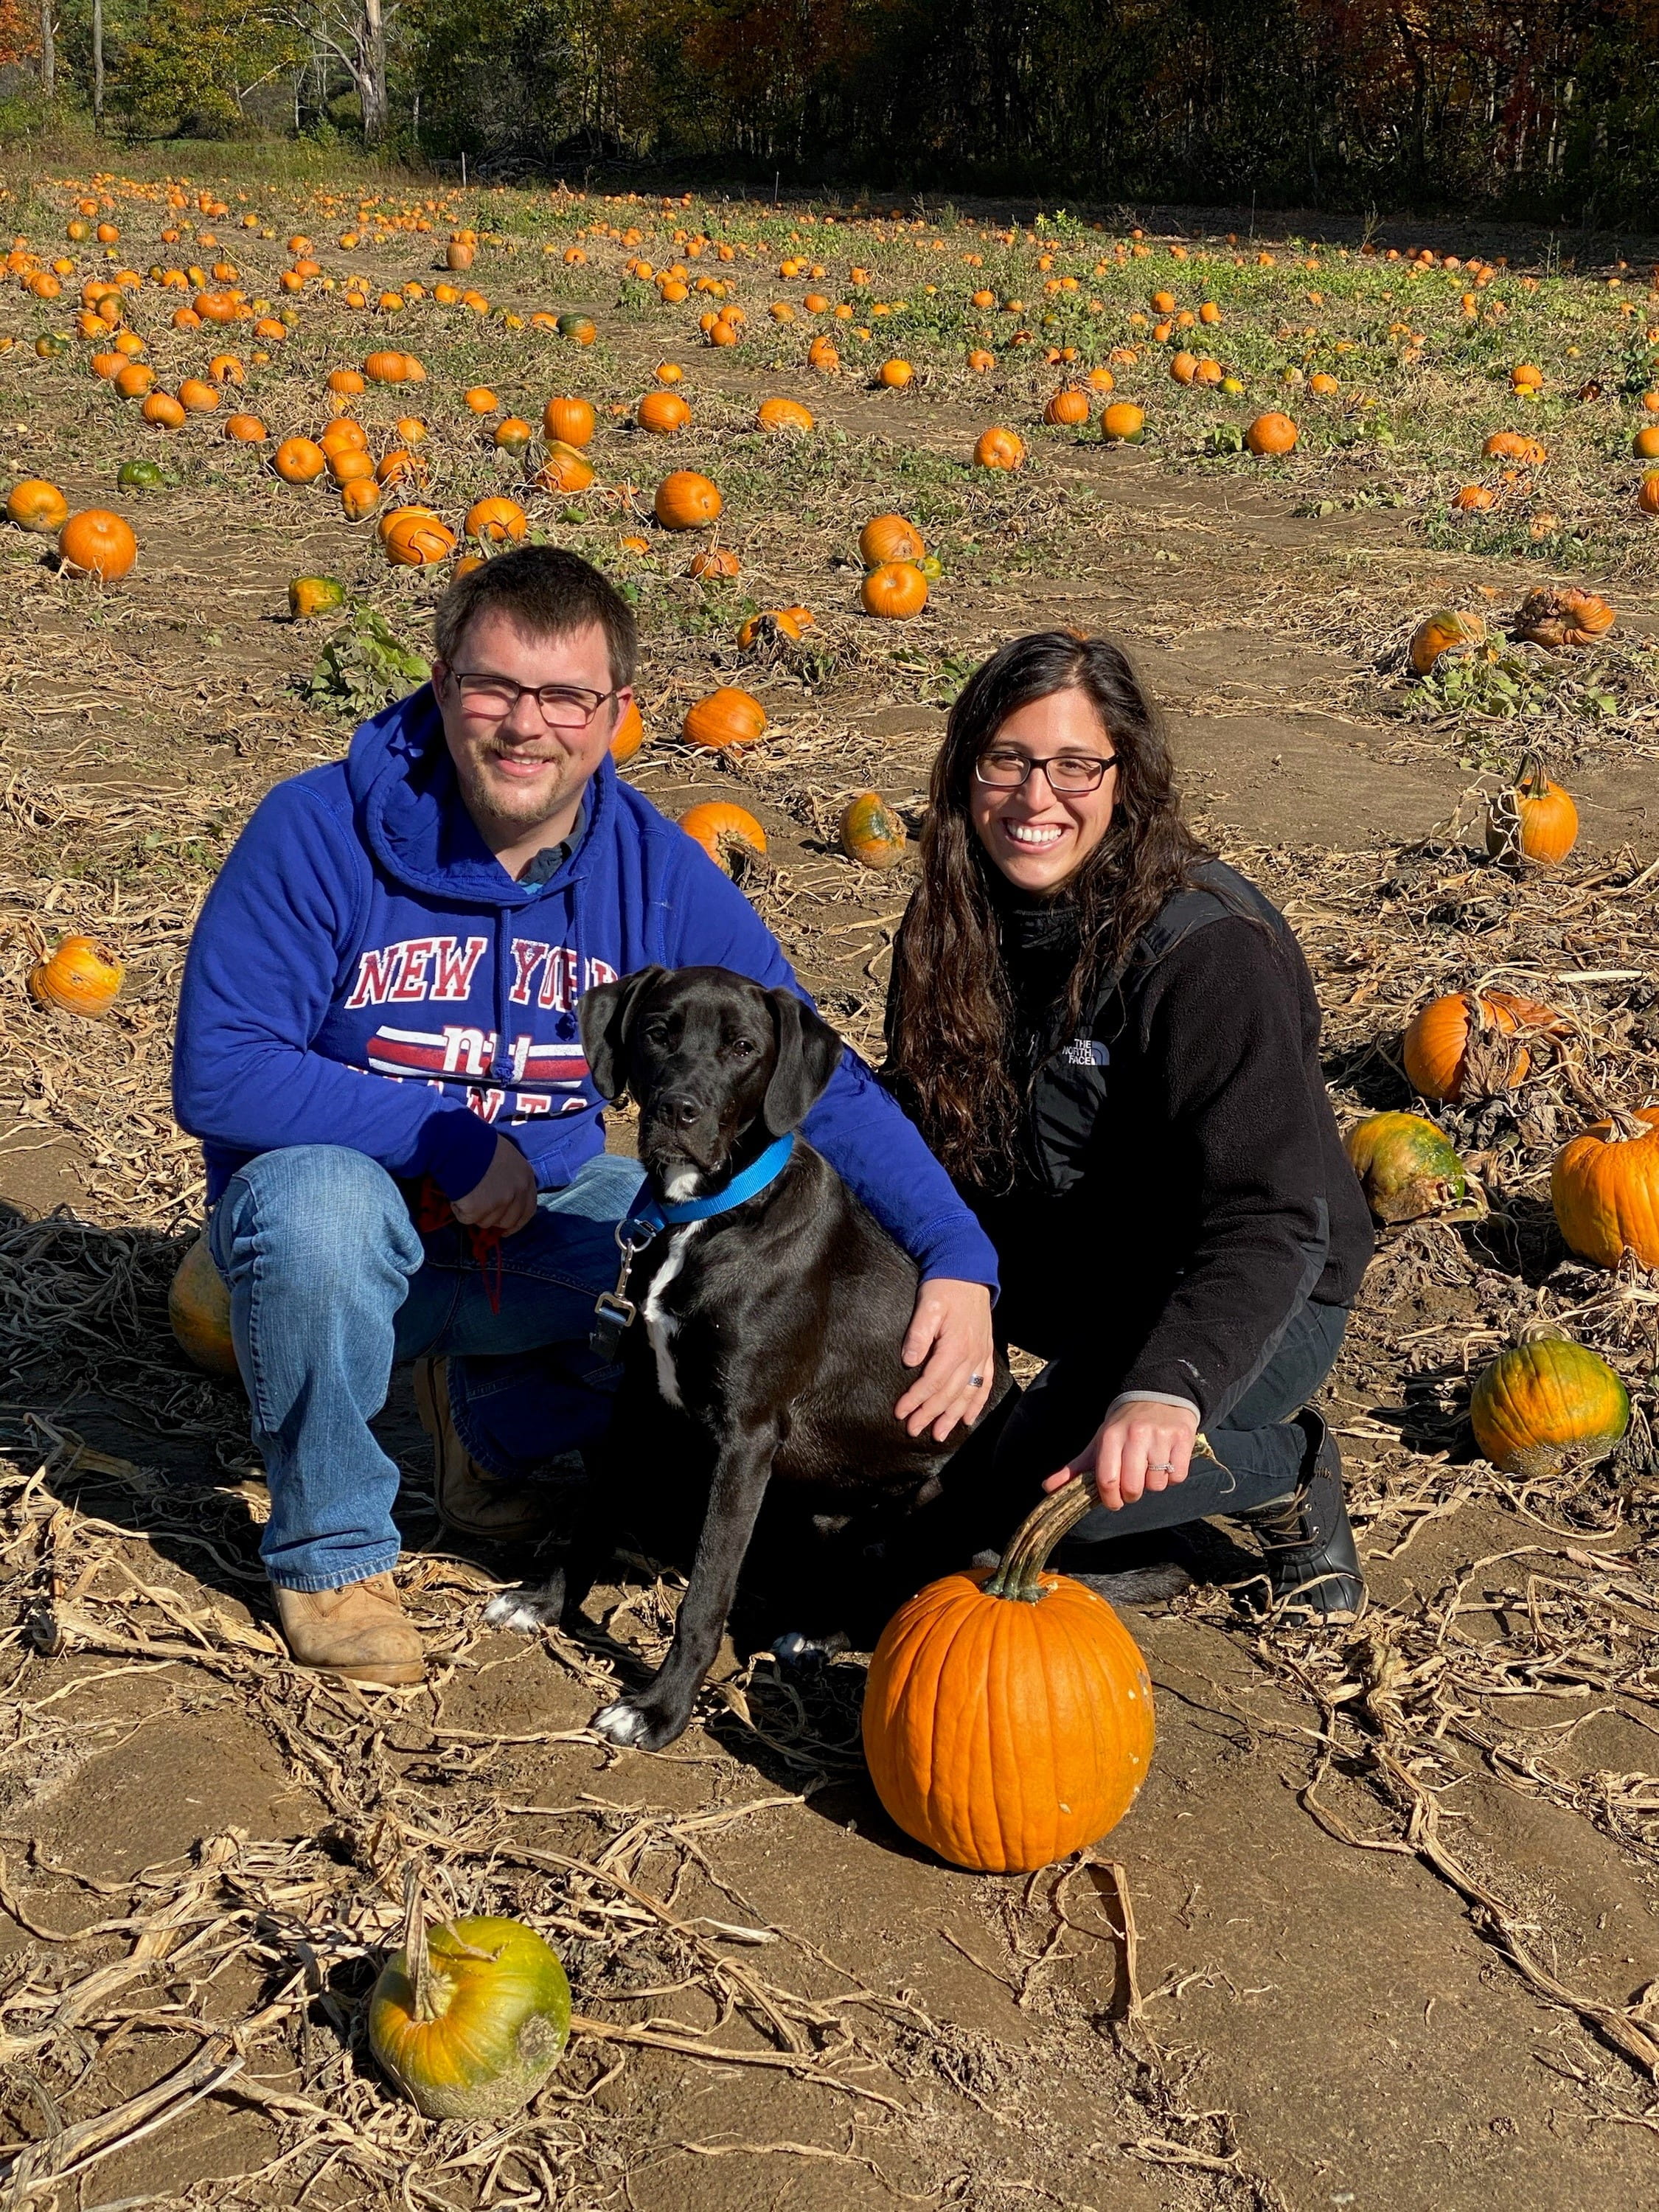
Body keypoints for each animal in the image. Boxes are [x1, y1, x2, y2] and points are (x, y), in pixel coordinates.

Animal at [487, 964, 1009, 1743]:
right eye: (658, 1032)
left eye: (742, 1048)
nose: (678, 1111)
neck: (705, 1218)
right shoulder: (637, 1398)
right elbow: (594, 1510)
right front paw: (545, 1601)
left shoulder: (747, 1439)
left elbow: (705, 1593)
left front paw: (660, 1709)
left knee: (907, 1604)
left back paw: (821, 1636)